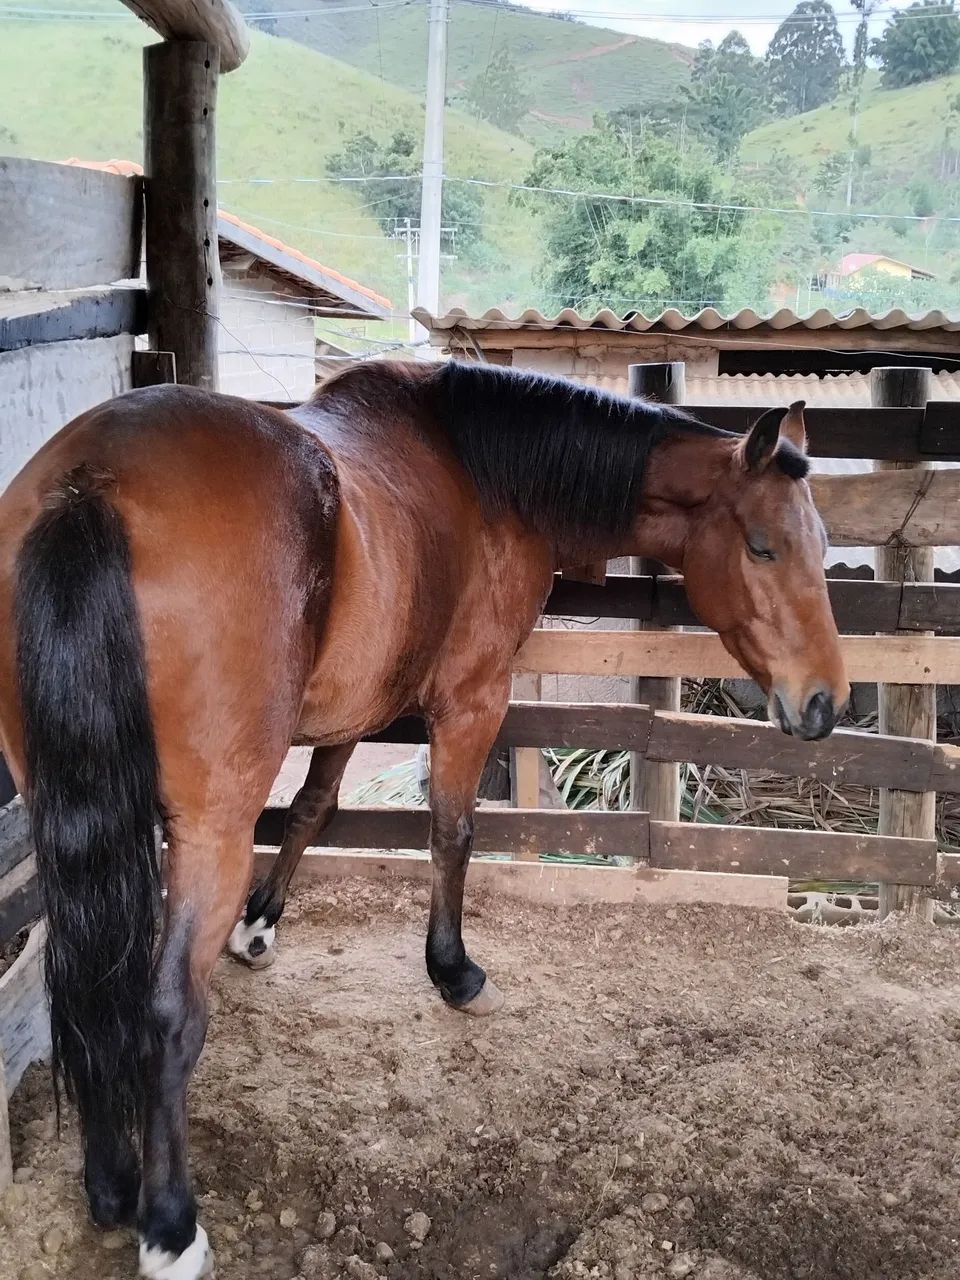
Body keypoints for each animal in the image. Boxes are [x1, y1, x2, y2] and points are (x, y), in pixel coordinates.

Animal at [0, 359, 848, 1280]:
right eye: (763, 546)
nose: (825, 702)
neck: (486, 475)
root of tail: (91, 485)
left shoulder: (353, 707)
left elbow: (312, 809)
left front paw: (261, 928)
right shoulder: (474, 700)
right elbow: (451, 831)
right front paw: (454, 971)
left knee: (90, 983)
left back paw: (111, 1185)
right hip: (207, 834)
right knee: (164, 1014)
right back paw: (168, 1225)